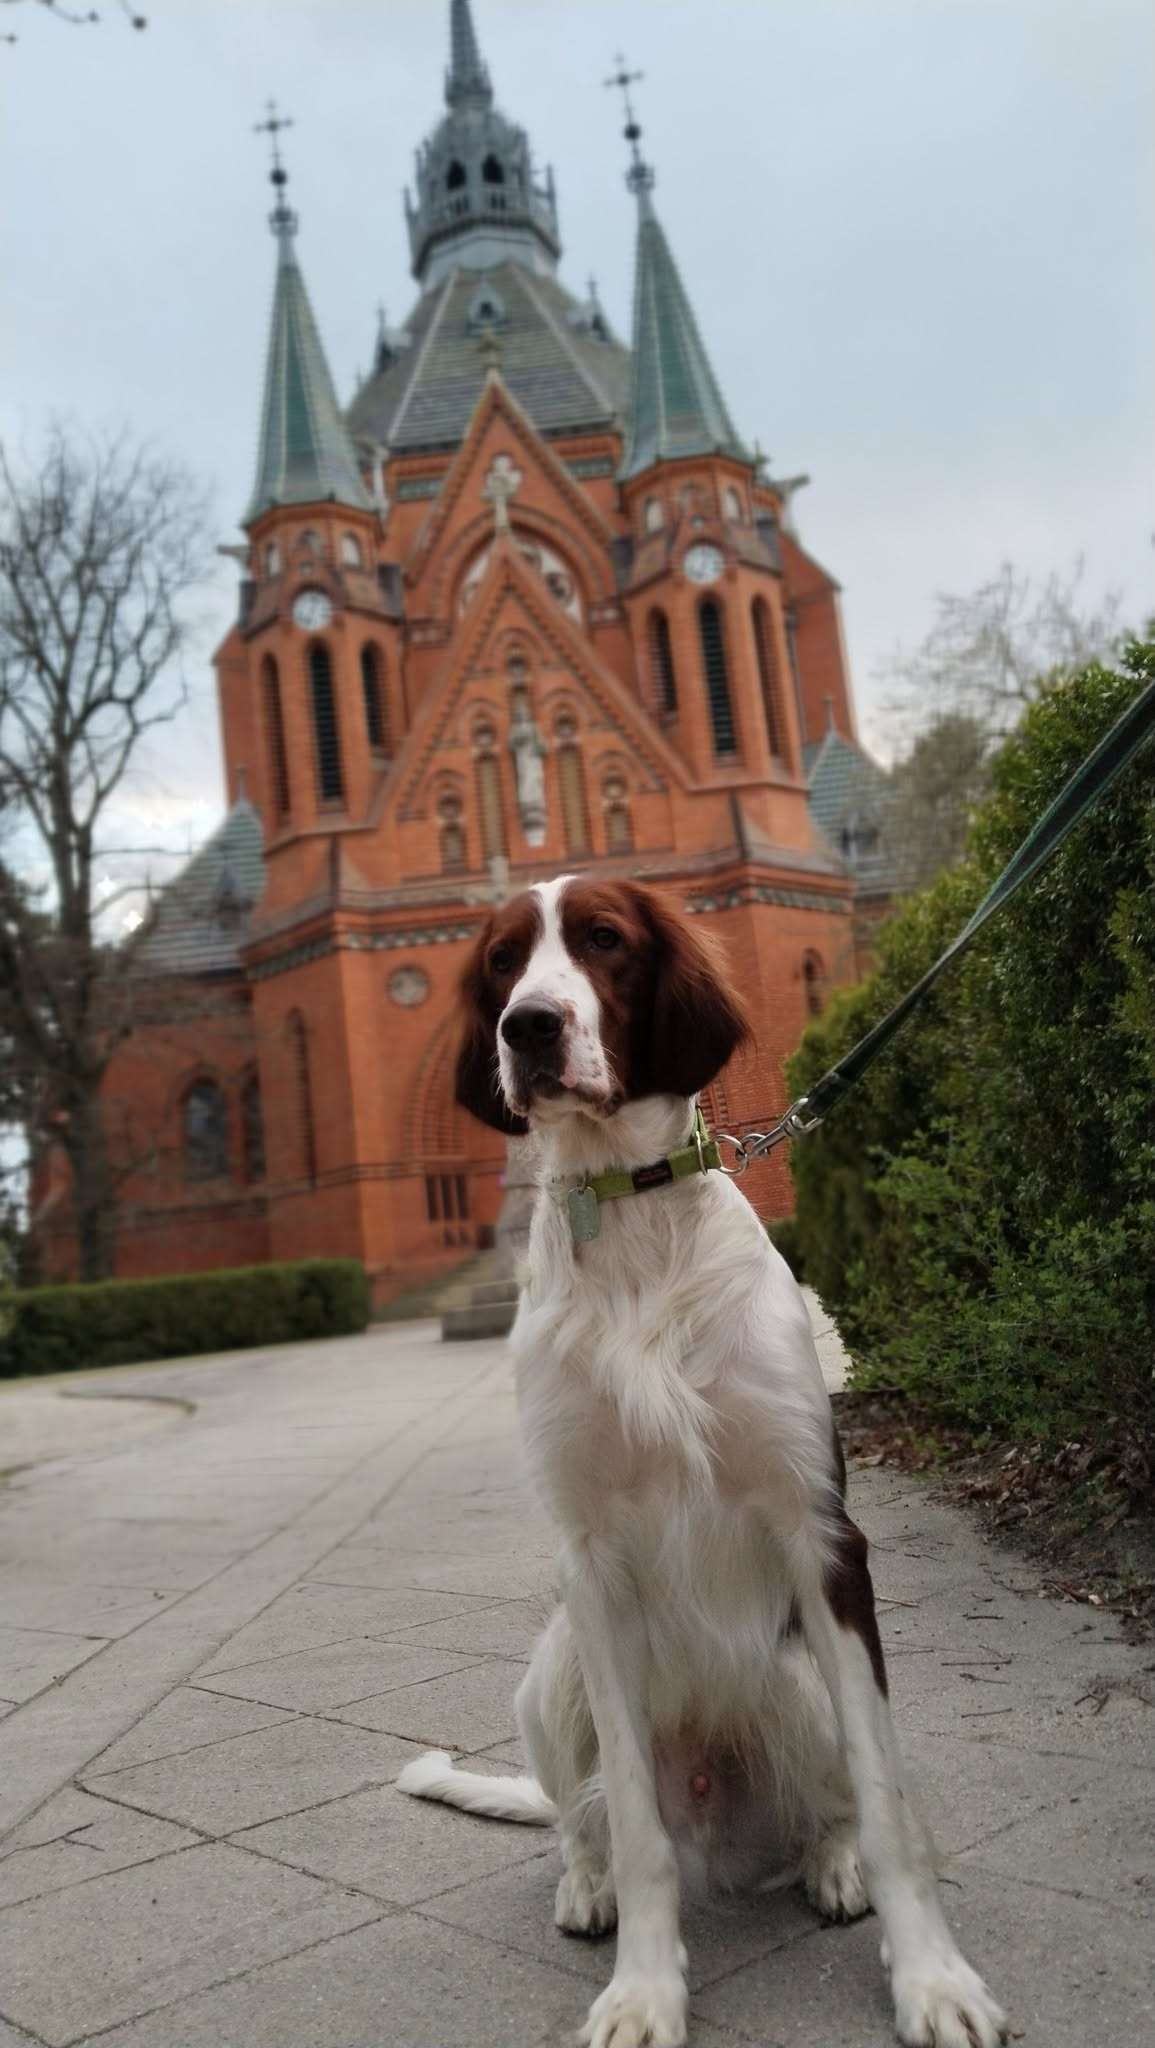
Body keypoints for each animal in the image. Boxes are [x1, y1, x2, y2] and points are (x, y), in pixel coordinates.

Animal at [398, 876, 1007, 2048]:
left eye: (604, 941)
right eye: (500, 962)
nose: (527, 1028)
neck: (630, 1216)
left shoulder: (822, 1535)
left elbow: (889, 1799)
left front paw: (933, 1978)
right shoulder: (587, 1564)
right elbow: (635, 1827)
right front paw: (643, 1990)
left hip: (799, 1675)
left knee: (831, 1804)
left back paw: (831, 1864)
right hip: (550, 1670)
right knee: (586, 1819)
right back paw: (584, 1884)